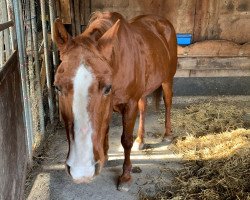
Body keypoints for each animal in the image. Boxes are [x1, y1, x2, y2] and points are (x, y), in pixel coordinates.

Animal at [53, 11, 177, 191]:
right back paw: (141, 140)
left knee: (167, 102)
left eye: (107, 88)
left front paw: (125, 176)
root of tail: (162, 21)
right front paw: (104, 156)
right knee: (144, 107)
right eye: (57, 87)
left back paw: (167, 135)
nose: (81, 171)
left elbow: (126, 140)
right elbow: (104, 130)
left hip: (167, 79)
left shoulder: (129, 104)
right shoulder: (110, 106)